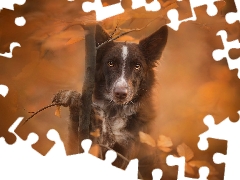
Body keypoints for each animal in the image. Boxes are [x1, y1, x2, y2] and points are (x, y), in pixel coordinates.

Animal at [52, 23, 168, 176]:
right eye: (111, 63)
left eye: (137, 66)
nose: (121, 93)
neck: (116, 111)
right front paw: (72, 97)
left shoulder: (125, 154)